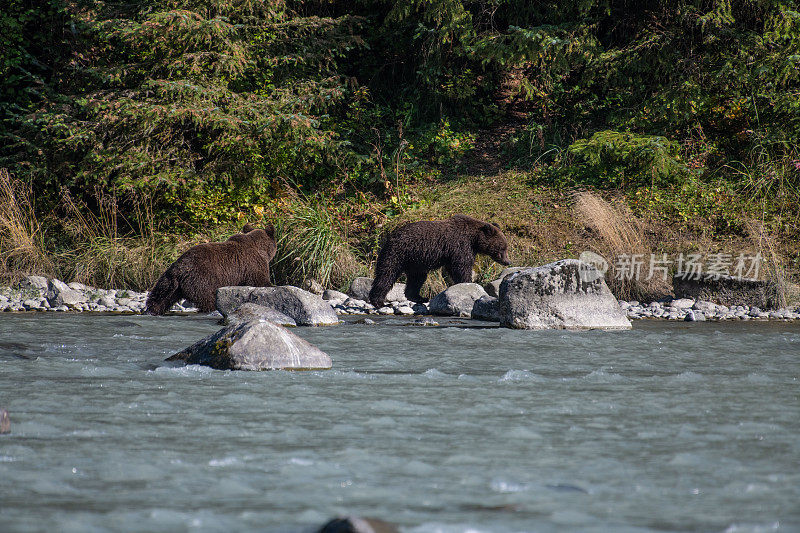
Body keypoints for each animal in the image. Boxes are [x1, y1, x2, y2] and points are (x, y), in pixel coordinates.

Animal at [145, 222, 276, 314]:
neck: (262, 250)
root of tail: (180, 270)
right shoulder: (253, 265)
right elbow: (260, 281)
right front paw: (272, 286)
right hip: (202, 279)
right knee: (207, 299)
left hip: (169, 280)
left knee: (160, 296)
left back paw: (152, 309)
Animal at [370, 214, 512, 308]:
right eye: (502, 248)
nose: (508, 262)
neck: (474, 239)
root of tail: (389, 237)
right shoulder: (460, 245)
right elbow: (462, 266)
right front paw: (468, 282)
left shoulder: (453, 253)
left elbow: (453, 268)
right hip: (398, 254)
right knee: (386, 274)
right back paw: (378, 301)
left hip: (416, 263)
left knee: (416, 279)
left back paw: (420, 297)